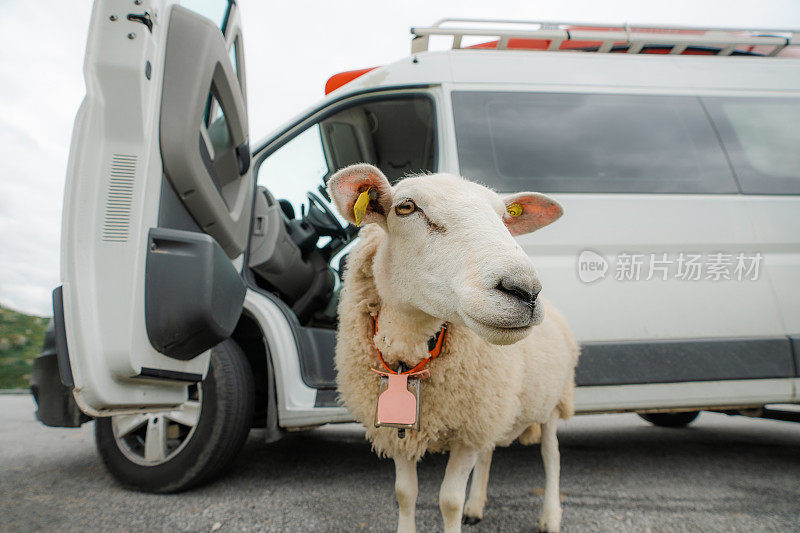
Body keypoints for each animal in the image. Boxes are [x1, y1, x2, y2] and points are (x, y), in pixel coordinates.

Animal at [328, 163, 580, 532]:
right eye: (406, 207)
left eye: (505, 217)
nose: (526, 290)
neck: (408, 351)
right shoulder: (404, 428)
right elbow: (405, 493)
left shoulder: (468, 428)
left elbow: (449, 501)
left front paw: (457, 509)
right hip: (496, 406)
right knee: (489, 452)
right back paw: (476, 507)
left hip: (551, 400)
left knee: (552, 456)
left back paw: (550, 516)